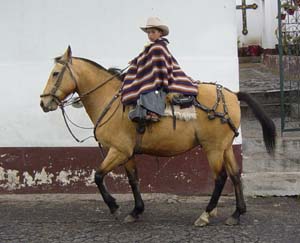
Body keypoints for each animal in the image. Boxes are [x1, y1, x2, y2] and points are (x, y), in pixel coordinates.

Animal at [40, 47, 276, 226]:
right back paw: (236, 214)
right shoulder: (127, 153)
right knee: (235, 175)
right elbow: (133, 180)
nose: (43, 102)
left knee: (221, 178)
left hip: (214, 148)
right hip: (225, 147)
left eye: (55, 73)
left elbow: (98, 176)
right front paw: (136, 211)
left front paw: (114, 206)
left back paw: (206, 214)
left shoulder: (118, 150)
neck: (112, 101)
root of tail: (233, 95)